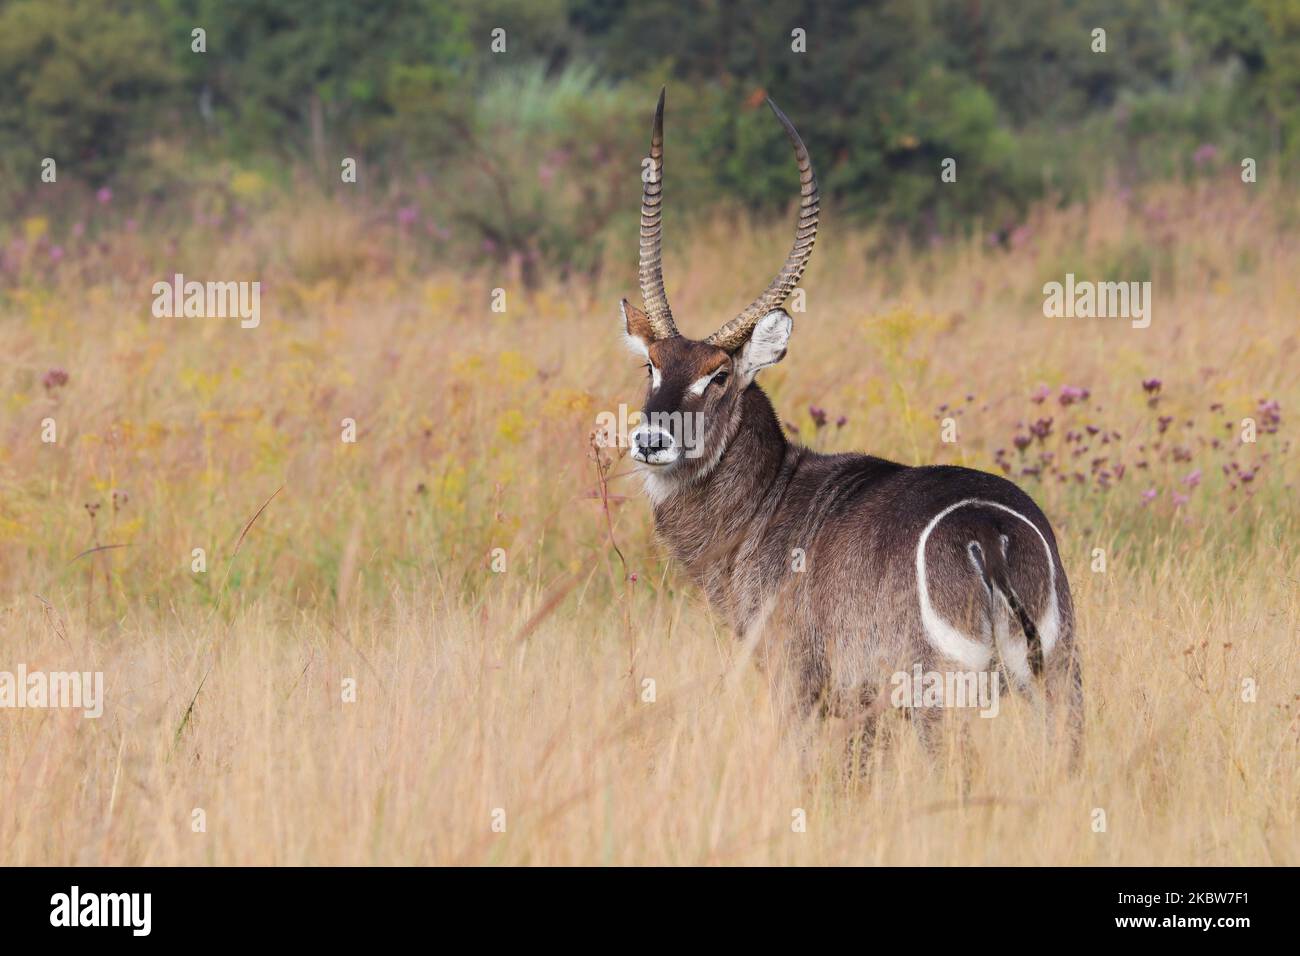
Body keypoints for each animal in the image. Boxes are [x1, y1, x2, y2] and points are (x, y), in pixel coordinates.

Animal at [620, 90, 1082, 753]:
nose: (651, 439)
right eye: (651, 364)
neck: (768, 498)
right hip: (1060, 680)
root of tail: (989, 532)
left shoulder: (797, 683)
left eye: (720, 375)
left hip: (940, 698)